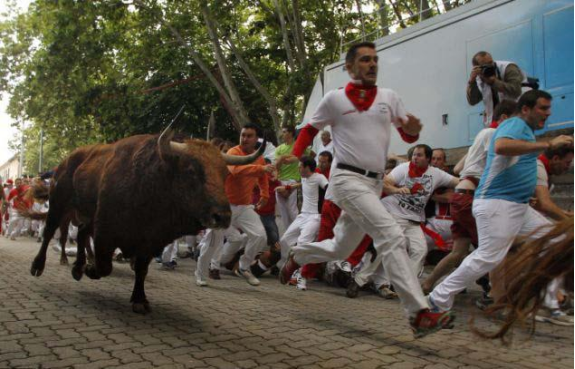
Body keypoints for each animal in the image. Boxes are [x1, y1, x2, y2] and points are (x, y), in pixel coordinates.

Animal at [30, 131, 264, 312]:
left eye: (225, 174)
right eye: (191, 170)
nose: (222, 216)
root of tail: (67, 160)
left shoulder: (150, 241)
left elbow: (141, 269)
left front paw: (140, 300)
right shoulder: (106, 231)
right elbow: (105, 266)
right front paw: (90, 269)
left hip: (84, 216)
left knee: (80, 234)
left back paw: (78, 267)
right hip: (59, 206)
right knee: (50, 232)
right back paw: (39, 266)